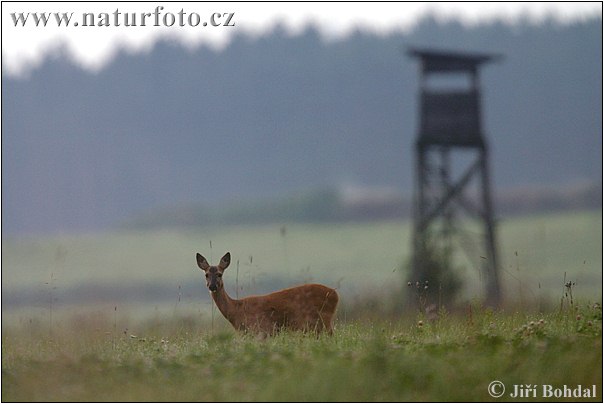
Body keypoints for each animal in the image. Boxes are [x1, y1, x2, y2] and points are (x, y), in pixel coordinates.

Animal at [198, 252, 340, 334]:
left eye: (219, 274)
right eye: (206, 275)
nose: (212, 286)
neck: (237, 311)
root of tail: (335, 294)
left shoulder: (261, 330)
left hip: (323, 321)